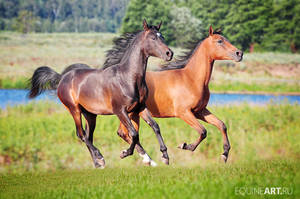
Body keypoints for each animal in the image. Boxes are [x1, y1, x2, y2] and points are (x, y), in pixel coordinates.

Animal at [28, 19, 173, 168]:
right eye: (153, 38)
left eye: (162, 37)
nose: (169, 53)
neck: (128, 78)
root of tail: (62, 77)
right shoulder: (120, 111)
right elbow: (133, 133)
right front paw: (125, 153)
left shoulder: (140, 107)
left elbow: (155, 126)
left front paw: (165, 156)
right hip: (74, 110)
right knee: (81, 135)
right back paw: (100, 158)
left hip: (90, 115)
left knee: (88, 136)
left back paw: (98, 163)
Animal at [117, 26, 244, 163]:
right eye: (220, 41)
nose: (239, 53)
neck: (191, 79)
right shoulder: (184, 112)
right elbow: (203, 131)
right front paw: (185, 145)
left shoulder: (200, 111)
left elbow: (222, 125)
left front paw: (224, 154)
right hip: (128, 113)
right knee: (124, 132)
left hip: (135, 114)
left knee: (127, 133)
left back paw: (146, 158)